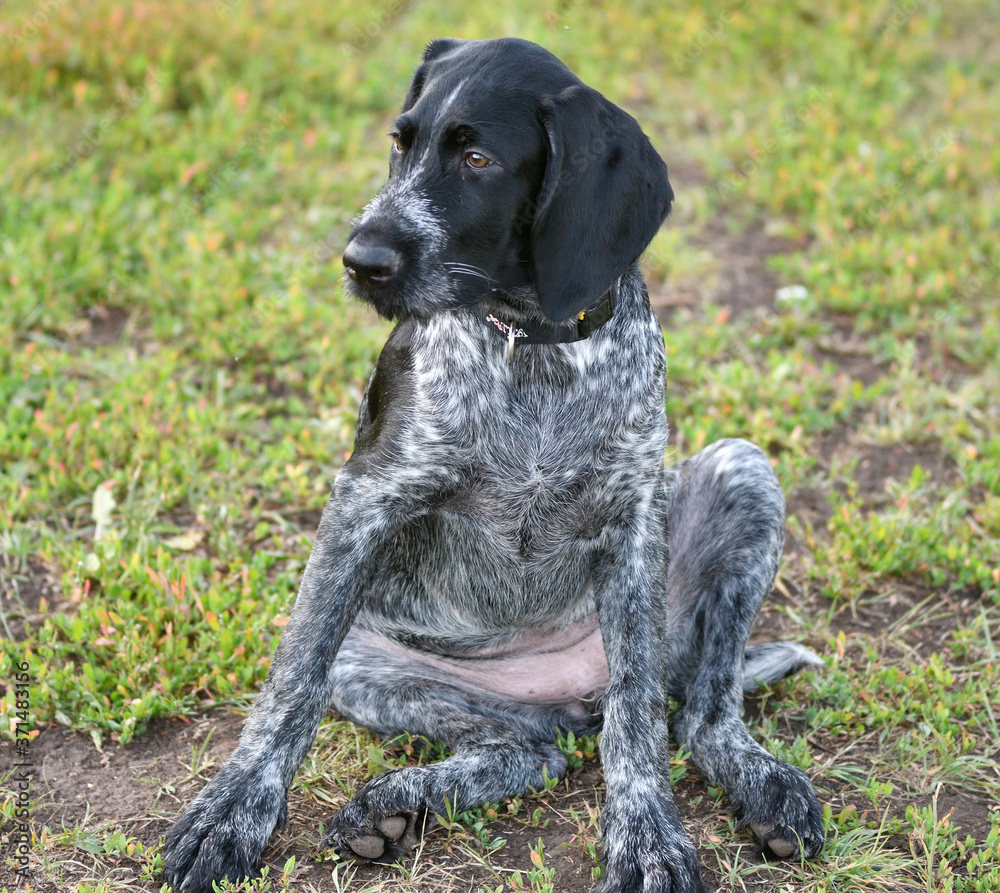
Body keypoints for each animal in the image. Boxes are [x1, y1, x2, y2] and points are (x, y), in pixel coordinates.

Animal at [164, 36, 824, 892]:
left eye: (477, 158)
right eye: (400, 143)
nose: (360, 259)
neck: (531, 343)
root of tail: (564, 693)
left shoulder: (633, 523)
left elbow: (638, 717)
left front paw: (647, 837)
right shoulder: (366, 499)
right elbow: (290, 684)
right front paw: (233, 809)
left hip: (741, 471)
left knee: (696, 715)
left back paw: (765, 783)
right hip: (372, 663)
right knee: (528, 748)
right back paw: (398, 802)